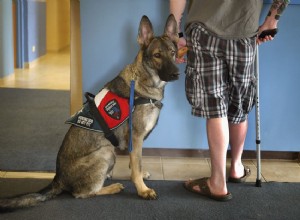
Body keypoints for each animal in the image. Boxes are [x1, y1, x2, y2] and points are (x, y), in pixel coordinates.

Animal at [0, 14, 178, 211]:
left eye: (172, 52)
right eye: (157, 55)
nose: (176, 73)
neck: (144, 80)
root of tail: (57, 179)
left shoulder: (135, 143)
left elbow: (135, 165)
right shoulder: (136, 138)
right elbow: (136, 167)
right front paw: (143, 190)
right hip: (106, 152)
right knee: (83, 193)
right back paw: (112, 187)